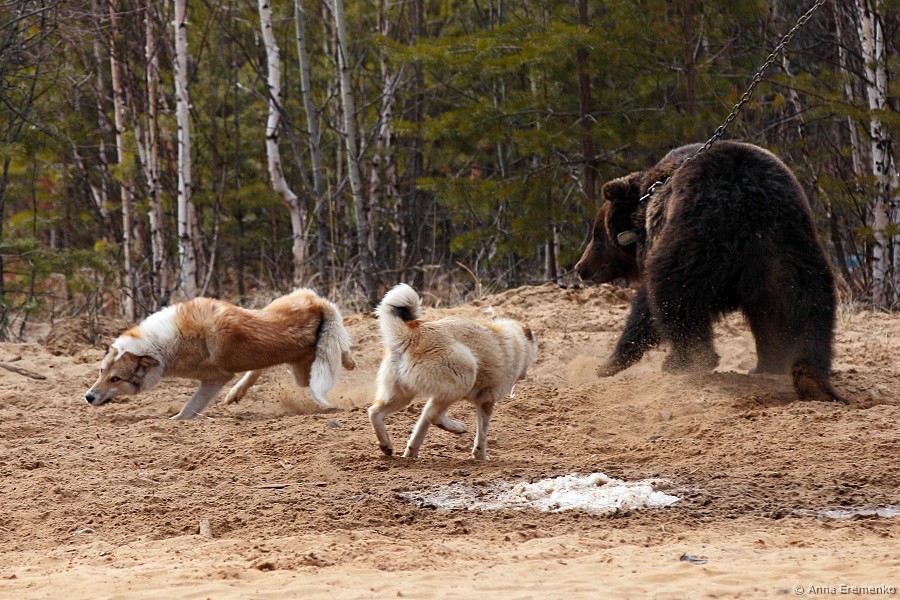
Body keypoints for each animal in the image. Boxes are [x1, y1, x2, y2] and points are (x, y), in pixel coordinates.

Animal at [85, 289, 356, 419]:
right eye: (101, 371)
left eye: (116, 379)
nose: (88, 397)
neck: (162, 344)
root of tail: (318, 307)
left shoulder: (215, 379)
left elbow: (188, 411)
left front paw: (175, 421)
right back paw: (237, 393)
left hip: (304, 371)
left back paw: (349, 361)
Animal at [367, 283, 537, 460]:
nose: (525, 375)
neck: (517, 341)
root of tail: (412, 335)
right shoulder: (487, 401)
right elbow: (482, 435)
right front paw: (481, 456)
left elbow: (419, 430)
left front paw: (410, 453)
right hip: (463, 380)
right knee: (433, 416)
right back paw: (458, 428)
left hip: (402, 396)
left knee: (376, 413)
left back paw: (386, 445)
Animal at [574, 141, 846, 404]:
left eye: (596, 235)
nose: (580, 267)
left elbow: (645, 310)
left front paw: (607, 364)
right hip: (792, 256)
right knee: (808, 311)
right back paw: (804, 378)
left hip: (694, 242)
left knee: (674, 298)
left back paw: (683, 362)